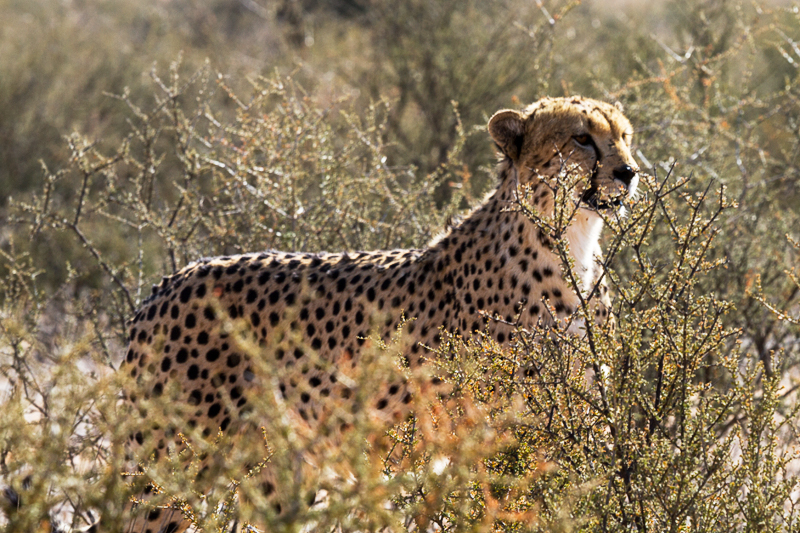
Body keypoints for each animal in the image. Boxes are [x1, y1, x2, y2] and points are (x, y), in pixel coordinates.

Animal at [9, 95, 640, 528]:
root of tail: (170, 280)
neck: (572, 243)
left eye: (624, 136)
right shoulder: (506, 432)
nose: (629, 172)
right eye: (582, 138)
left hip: (273, 465)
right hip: (178, 455)